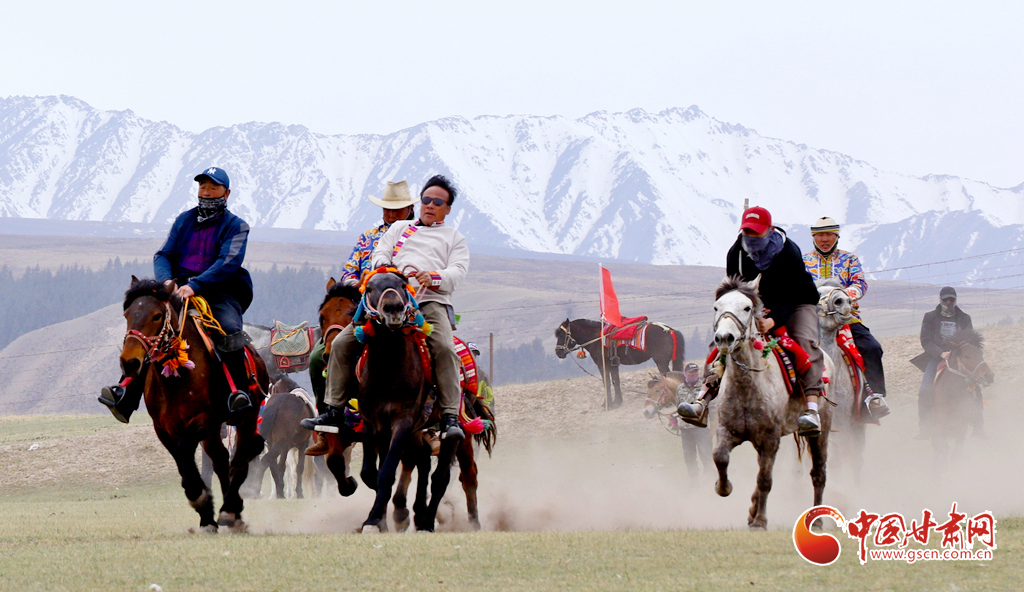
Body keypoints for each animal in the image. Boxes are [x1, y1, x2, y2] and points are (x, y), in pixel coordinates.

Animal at [119, 276, 267, 532]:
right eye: (127, 314)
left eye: (157, 315)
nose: (130, 362)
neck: (175, 379)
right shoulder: (163, 428)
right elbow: (183, 460)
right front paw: (205, 513)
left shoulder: (203, 420)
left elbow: (185, 451)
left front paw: (201, 499)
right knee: (221, 460)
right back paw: (231, 512)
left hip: (246, 418)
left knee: (239, 461)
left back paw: (230, 510)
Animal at [555, 318, 684, 409]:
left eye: (562, 335)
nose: (558, 352)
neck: (597, 338)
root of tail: (670, 330)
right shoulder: (613, 365)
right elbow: (615, 381)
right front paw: (617, 402)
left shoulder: (602, 365)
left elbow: (606, 382)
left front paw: (607, 404)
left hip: (661, 362)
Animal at [710, 275, 834, 530]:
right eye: (717, 307)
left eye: (747, 308)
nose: (724, 338)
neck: (747, 385)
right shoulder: (727, 430)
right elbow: (721, 458)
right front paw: (724, 488)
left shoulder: (770, 440)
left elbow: (765, 479)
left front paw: (760, 522)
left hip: (821, 433)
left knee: (819, 473)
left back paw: (816, 521)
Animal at [931, 330, 993, 465]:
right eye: (967, 356)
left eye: (981, 354)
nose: (990, 376)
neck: (950, 395)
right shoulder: (940, 428)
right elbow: (943, 451)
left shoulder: (961, 427)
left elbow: (956, 453)